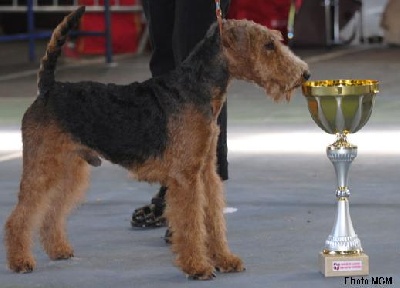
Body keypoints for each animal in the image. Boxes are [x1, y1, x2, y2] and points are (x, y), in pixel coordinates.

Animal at [3, 6, 310, 280]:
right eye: (269, 45)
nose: (304, 74)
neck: (196, 88)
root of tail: (48, 89)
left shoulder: (205, 172)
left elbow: (212, 218)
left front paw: (225, 259)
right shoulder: (186, 177)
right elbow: (192, 223)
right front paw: (198, 267)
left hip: (70, 168)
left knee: (51, 212)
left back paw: (58, 250)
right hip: (43, 166)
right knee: (19, 217)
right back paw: (20, 261)